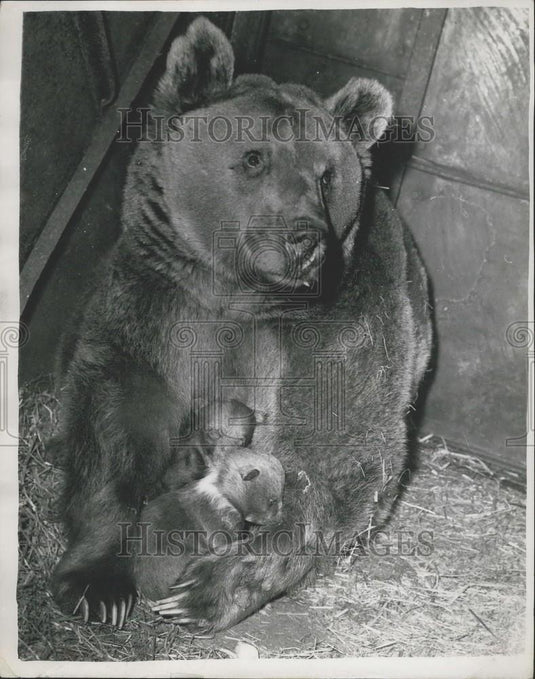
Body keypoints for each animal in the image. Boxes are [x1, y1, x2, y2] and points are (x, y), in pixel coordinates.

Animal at [50, 16, 432, 632]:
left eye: (327, 176)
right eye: (254, 158)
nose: (304, 237)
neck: (238, 291)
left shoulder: (338, 323)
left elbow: (336, 446)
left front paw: (205, 588)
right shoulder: (158, 298)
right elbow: (118, 413)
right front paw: (97, 584)